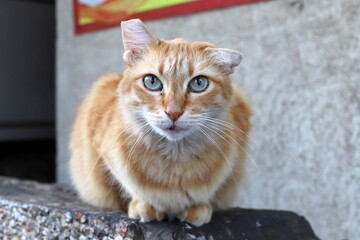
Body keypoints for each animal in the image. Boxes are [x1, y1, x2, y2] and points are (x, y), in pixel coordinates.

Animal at [69, 18, 250, 227]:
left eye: (199, 84)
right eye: (151, 82)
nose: (173, 112)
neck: (174, 157)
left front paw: (198, 208)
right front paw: (144, 205)